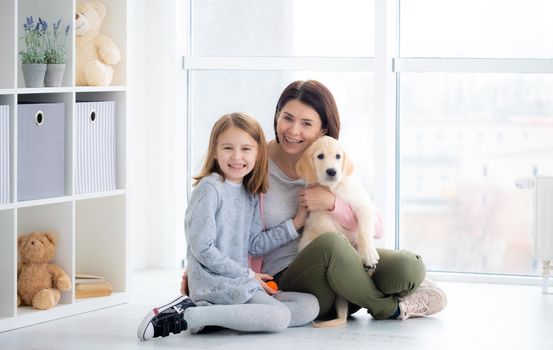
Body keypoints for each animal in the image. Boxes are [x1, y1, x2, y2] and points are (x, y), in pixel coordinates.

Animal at [296, 135, 378, 326]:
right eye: (320, 156)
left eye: (338, 156)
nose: (332, 171)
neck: (334, 189)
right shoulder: (318, 215)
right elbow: (329, 230)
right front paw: (342, 239)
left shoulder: (363, 205)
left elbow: (363, 230)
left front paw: (368, 254)